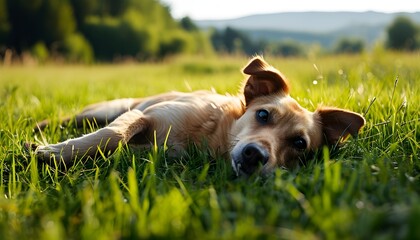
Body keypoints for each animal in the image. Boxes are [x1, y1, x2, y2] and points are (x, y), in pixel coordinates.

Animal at [28, 57, 364, 175]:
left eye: (299, 144)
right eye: (263, 114)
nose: (256, 156)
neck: (208, 134)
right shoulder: (143, 115)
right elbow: (114, 134)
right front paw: (55, 152)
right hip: (106, 109)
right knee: (75, 119)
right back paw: (39, 127)